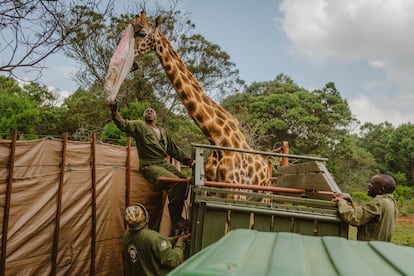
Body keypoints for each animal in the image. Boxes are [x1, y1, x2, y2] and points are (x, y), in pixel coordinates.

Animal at [131, 10, 270, 188]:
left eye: (142, 33)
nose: (130, 62)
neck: (217, 139)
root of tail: (268, 170)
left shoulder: (233, 188)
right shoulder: (210, 186)